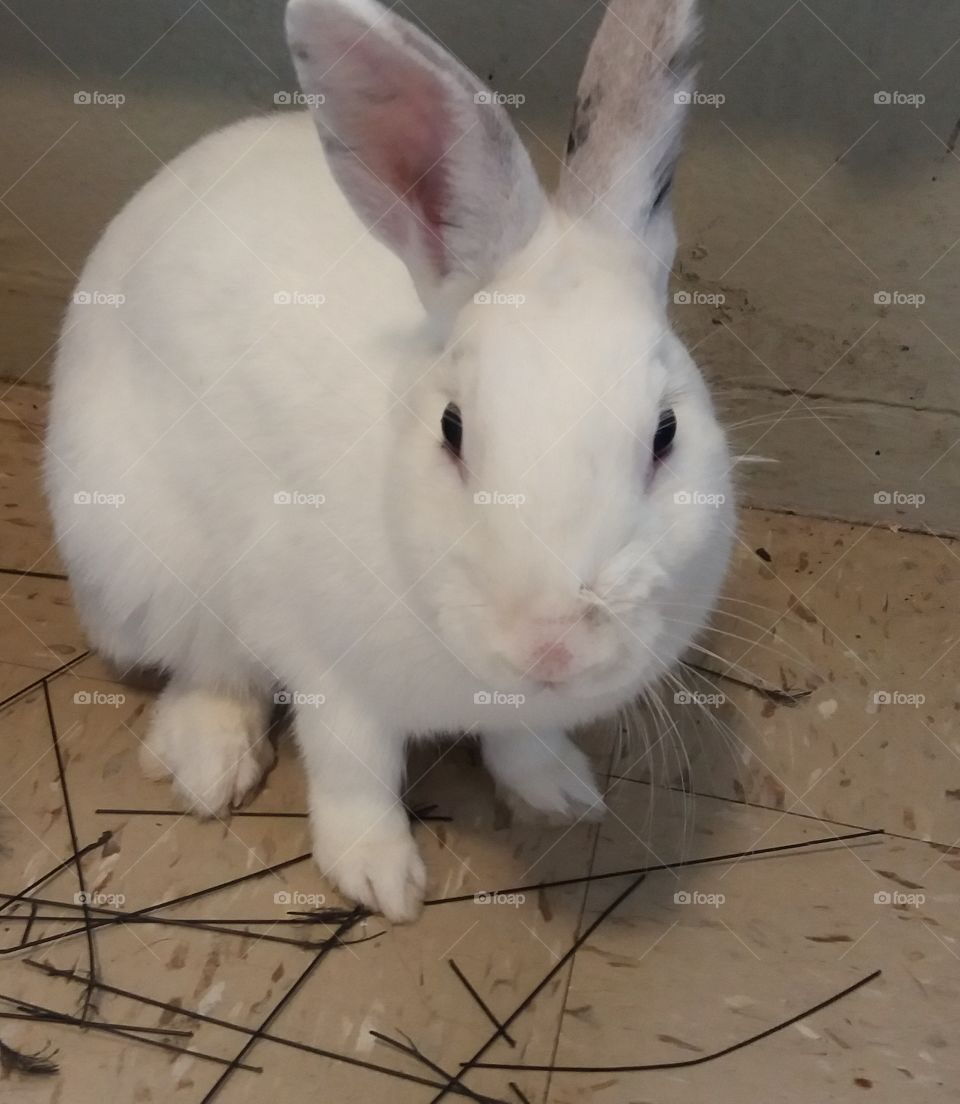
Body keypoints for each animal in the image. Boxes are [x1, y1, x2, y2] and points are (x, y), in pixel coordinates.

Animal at [45, 0, 733, 922]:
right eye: (452, 428)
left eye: (665, 433)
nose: (551, 645)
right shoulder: (327, 668)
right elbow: (353, 769)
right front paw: (379, 877)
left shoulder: (515, 707)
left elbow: (520, 740)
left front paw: (559, 792)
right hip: (142, 559)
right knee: (209, 668)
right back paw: (211, 765)